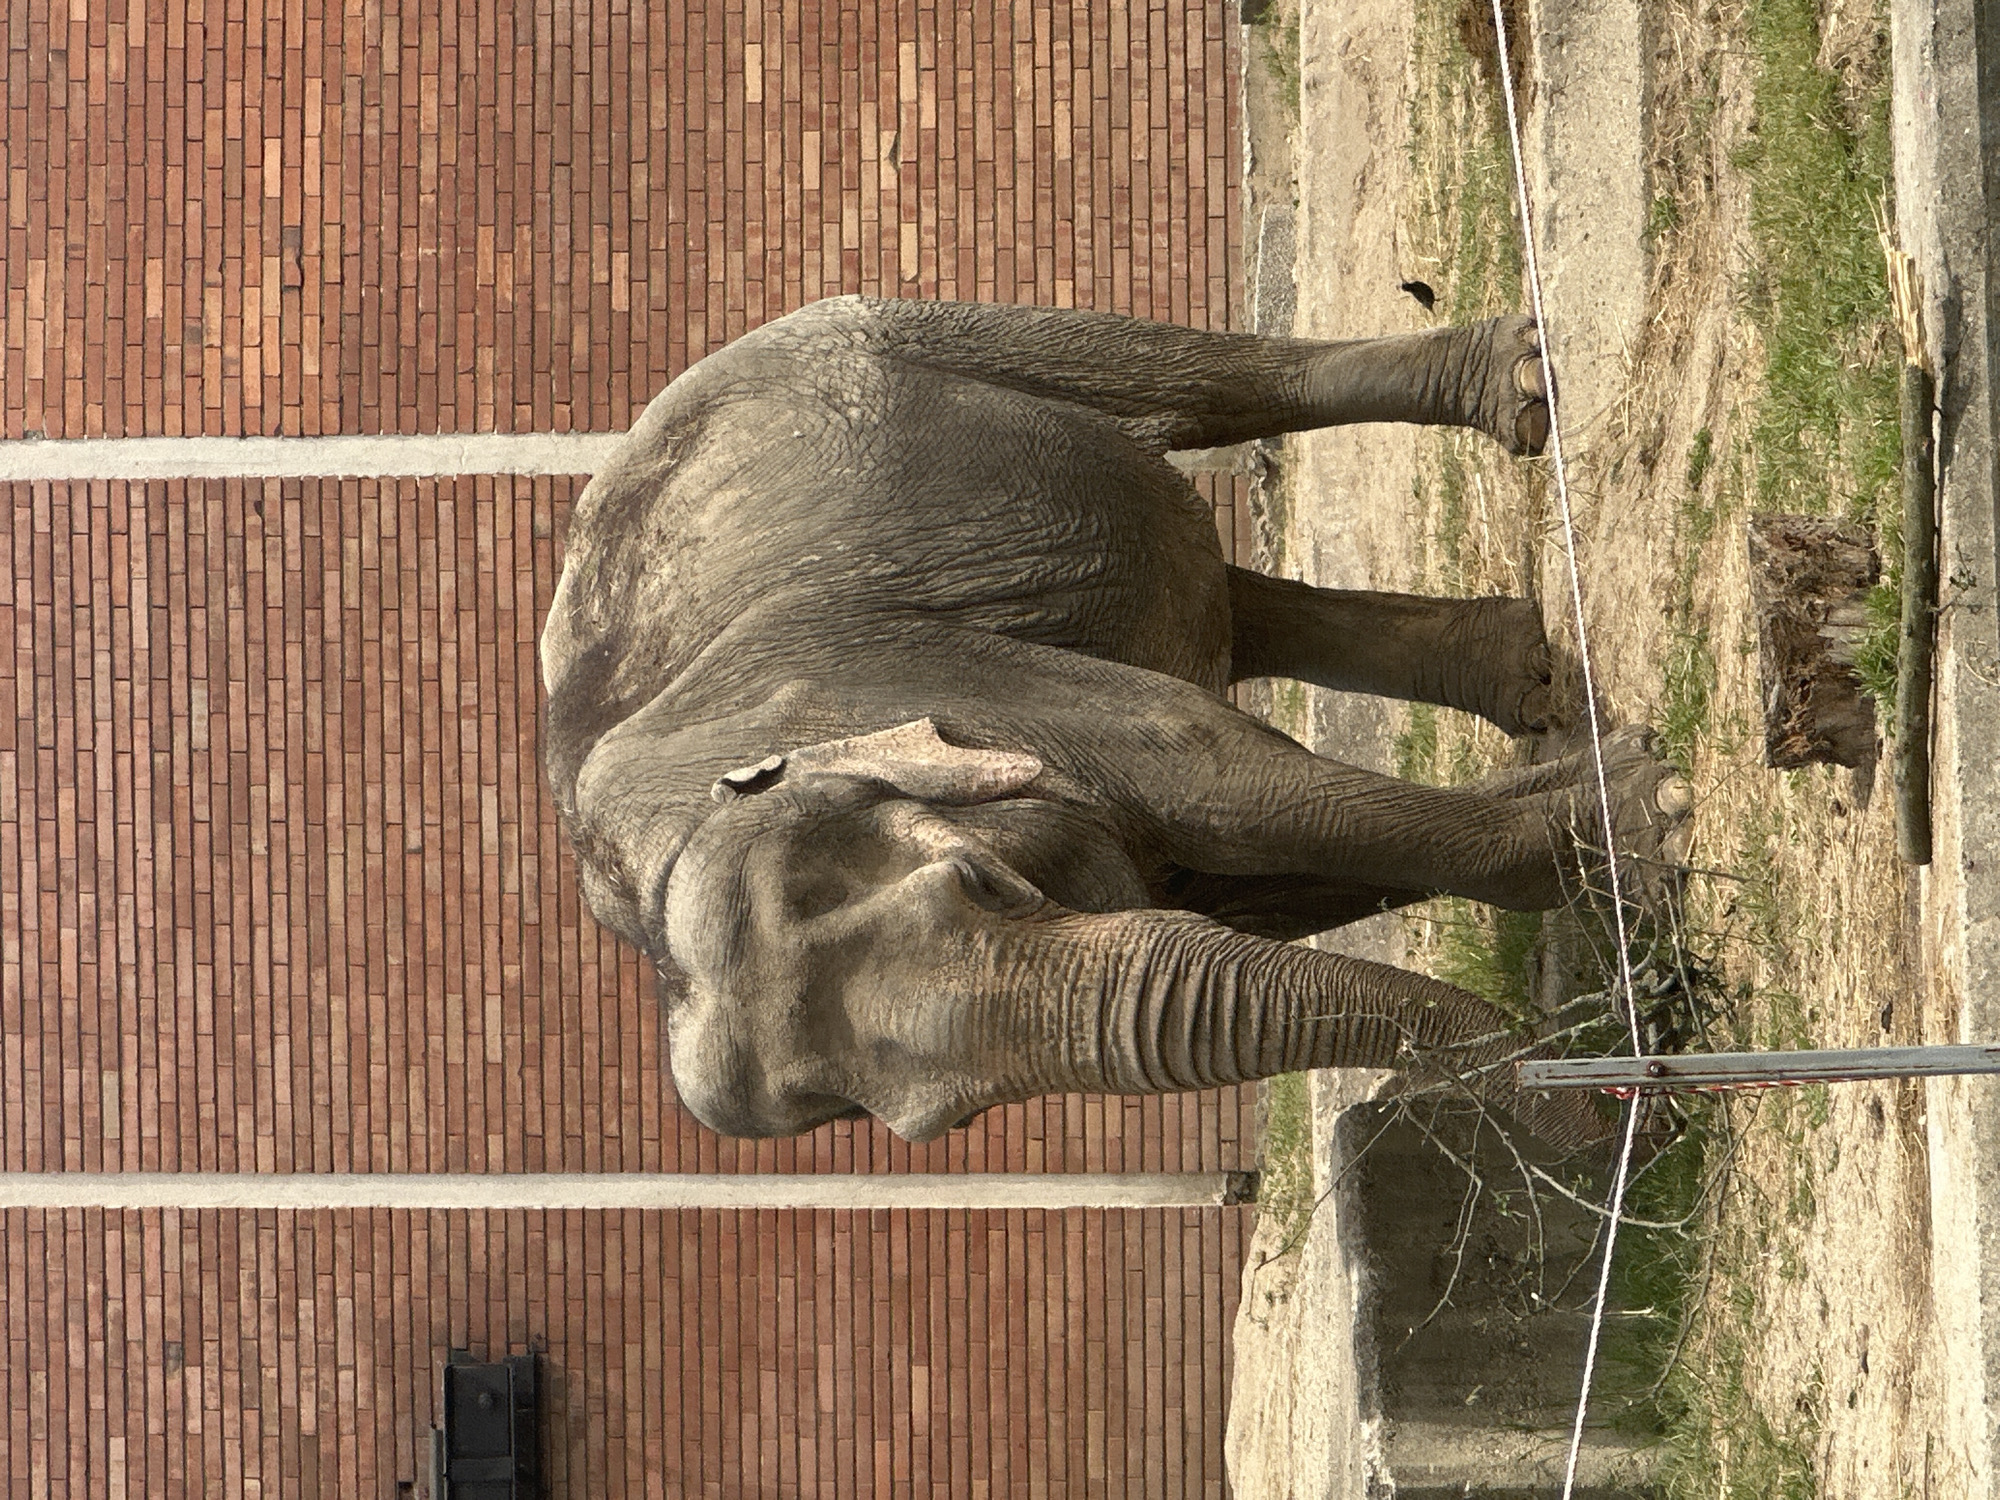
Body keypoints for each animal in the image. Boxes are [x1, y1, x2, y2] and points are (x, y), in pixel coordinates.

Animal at [538, 296, 1689, 1148]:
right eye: (937, 1127)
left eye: (981, 884)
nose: (1612, 1100)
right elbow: (1263, 887)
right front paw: (1609, 796)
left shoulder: (906, 673)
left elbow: (1228, 782)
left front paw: (1649, 815)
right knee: (1221, 600)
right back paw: (1530, 678)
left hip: (891, 330)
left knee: (1182, 380)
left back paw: (1519, 386)